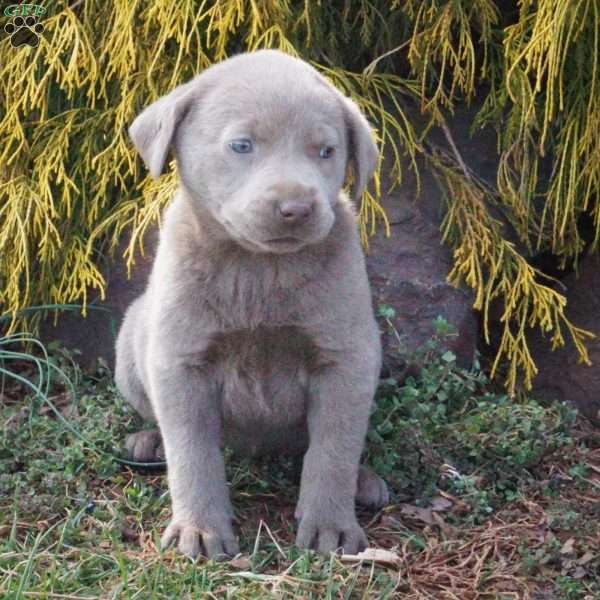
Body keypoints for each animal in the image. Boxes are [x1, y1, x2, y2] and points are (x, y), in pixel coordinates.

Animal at [116, 49, 390, 560]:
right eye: (241, 146)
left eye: (326, 151)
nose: (296, 208)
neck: (258, 268)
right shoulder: (181, 360)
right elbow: (193, 452)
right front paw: (200, 529)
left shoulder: (346, 359)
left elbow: (334, 450)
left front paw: (330, 526)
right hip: (131, 346)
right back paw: (148, 442)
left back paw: (364, 482)